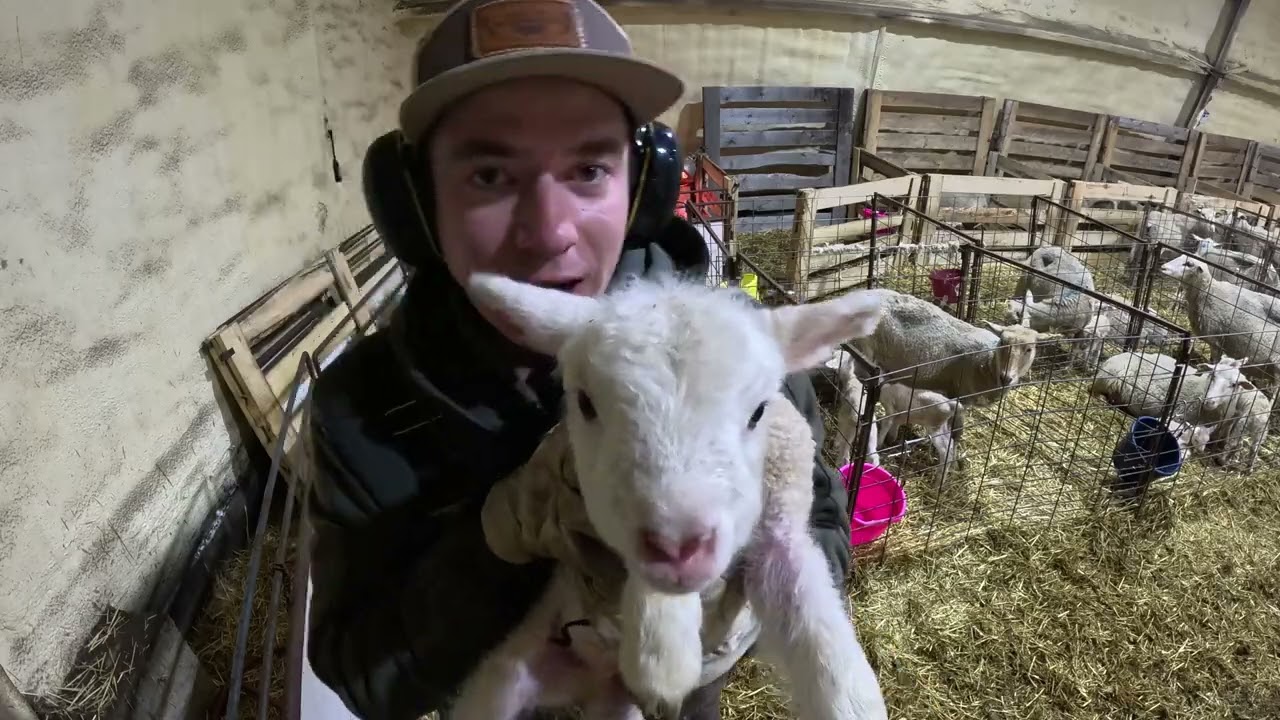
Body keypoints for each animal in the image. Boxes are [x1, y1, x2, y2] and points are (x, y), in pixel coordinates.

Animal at [460, 272, 889, 720]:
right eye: (585, 403)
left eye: (758, 411)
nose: (678, 545)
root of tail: (588, 682)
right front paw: (663, 656)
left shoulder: (780, 534)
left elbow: (839, 675)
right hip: (507, 674)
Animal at [848, 287, 1059, 409]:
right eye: (1003, 343)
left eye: (1029, 349)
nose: (1006, 377)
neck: (986, 361)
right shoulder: (962, 395)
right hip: (864, 350)